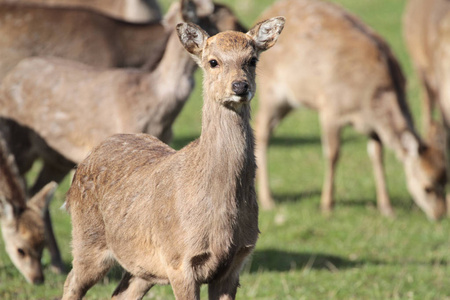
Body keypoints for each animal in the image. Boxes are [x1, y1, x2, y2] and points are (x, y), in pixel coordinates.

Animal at [60, 17, 284, 300]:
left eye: (252, 59)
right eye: (213, 61)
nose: (240, 86)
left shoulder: (236, 263)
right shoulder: (179, 259)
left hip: (141, 266)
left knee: (120, 293)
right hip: (88, 238)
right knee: (71, 282)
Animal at [253, 0, 446, 220]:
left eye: (446, 180)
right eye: (427, 187)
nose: (440, 215)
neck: (368, 101)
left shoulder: (372, 126)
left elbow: (377, 156)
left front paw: (386, 208)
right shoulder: (331, 109)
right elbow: (333, 154)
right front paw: (327, 205)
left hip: (290, 101)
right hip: (271, 90)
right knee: (262, 127)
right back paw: (268, 200)